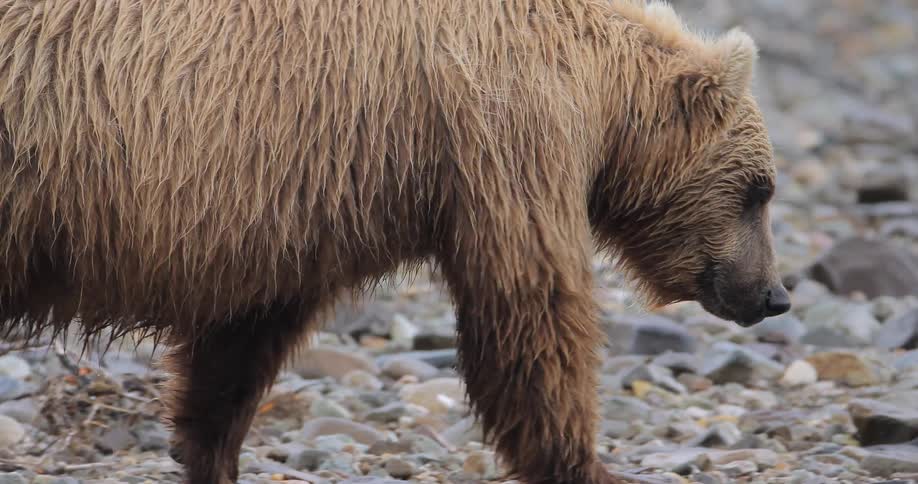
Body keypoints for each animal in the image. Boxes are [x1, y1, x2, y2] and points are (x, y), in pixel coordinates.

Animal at [0, 1, 790, 483]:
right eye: (760, 191)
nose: (774, 294)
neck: (600, 97)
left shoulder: (289, 216)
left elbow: (239, 348)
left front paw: (208, 449)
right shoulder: (504, 132)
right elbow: (533, 311)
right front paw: (586, 461)